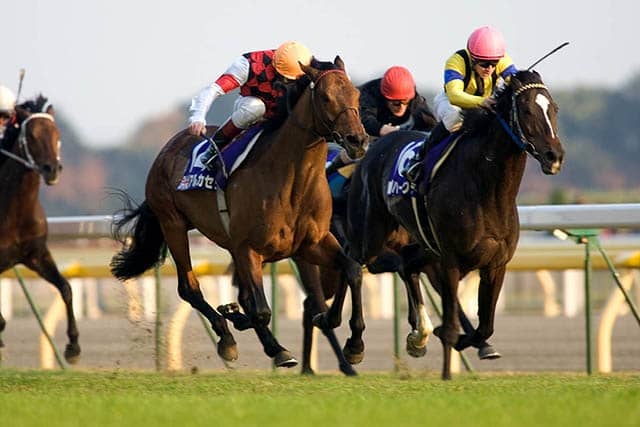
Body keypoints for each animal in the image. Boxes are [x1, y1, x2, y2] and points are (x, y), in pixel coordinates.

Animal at [0, 95, 81, 363]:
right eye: (33, 135)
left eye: (57, 134)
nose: (52, 169)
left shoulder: (36, 254)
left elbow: (66, 288)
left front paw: (73, 347)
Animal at [110, 57, 368, 372]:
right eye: (326, 97)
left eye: (356, 95)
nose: (358, 140)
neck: (292, 181)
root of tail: (168, 148)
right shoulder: (249, 248)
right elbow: (261, 310)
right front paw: (273, 346)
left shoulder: (312, 243)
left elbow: (351, 271)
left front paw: (352, 342)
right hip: (173, 224)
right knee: (190, 288)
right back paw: (228, 338)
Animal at [344, 70, 565, 379]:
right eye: (526, 110)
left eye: (553, 108)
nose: (554, 156)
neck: (488, 191)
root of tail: (376, 147)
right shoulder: (450, 260)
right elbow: (450, 325)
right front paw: (447, 374)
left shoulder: (495, 264)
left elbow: (485, 326)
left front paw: (462, 341)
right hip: (371, 233)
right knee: (353, 264)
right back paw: (354, 345)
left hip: (421, 243)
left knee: (407, 265)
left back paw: (419, 336)